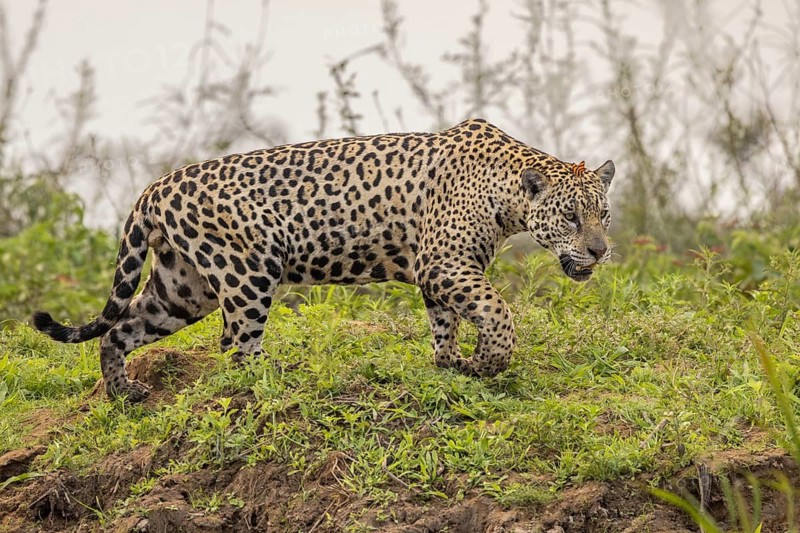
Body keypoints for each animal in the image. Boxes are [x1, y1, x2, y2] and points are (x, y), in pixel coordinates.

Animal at [32, 118, 615, 402]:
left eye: (603, 216)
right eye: (570, 219)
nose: (599, 251)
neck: (509, 192)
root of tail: (153, 188)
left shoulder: (442, 271)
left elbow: (445, 322)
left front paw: (452, 364)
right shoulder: (445, 263)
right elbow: (496, 312)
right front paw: (489, 361)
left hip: (182, 287)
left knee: (120, 330)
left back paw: (122, 392)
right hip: (248, 270)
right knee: (236, 346)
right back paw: (278, 379)